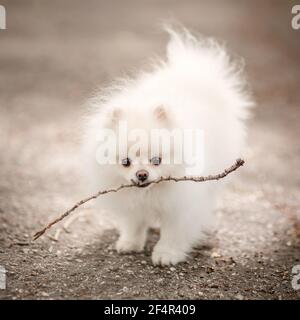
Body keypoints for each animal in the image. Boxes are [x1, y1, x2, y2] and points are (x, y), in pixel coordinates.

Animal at [82, 27, 253, 264]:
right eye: (126, 162)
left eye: (157, 160)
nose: (142, 174)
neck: (151, 192)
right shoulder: (131, 202)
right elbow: (134, 223)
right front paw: (130, 243)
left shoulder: (181, 207)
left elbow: (173, 232)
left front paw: (166, 254)